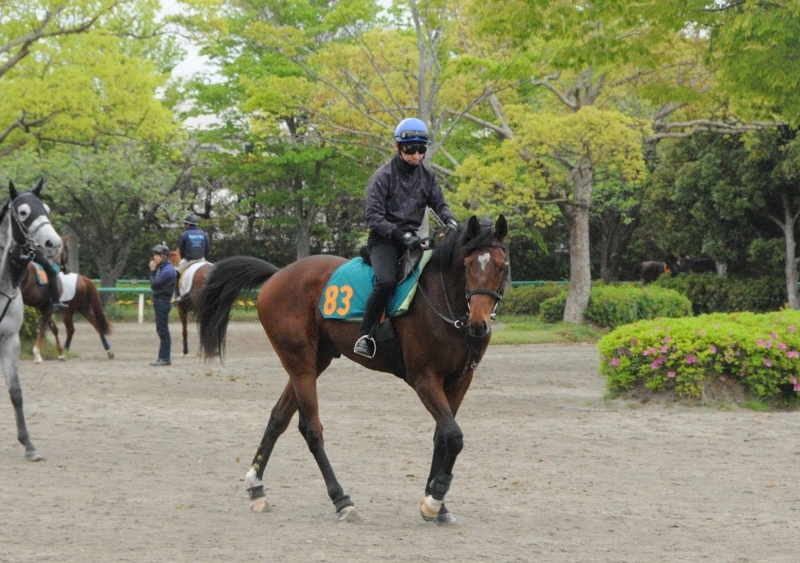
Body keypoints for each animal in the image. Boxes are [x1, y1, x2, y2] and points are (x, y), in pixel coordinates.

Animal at [20, 235, 113, 364]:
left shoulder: (48, 308)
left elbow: (46, 329)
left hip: (73, 309)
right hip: (81, 309)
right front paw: (59, 353)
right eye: (68, 249)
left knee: (78, 328)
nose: (67, 268)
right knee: (90, 327)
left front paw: (42, 354)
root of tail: (83, 279)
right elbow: (51, 329)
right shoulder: (45, 309)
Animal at [195, 218, 506, 528]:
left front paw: (438, 504)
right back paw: (342, 500)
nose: (478, 324)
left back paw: (256, 487)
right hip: (300, 363)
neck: (444, 304)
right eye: (468, 265)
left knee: (278, 418)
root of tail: (278, 274)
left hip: (314, 362)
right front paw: (433, 501)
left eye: (501, 266)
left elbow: (443, 437)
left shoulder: (460, 380)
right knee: (311, 429)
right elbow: (453, 435)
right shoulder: (424, 379)